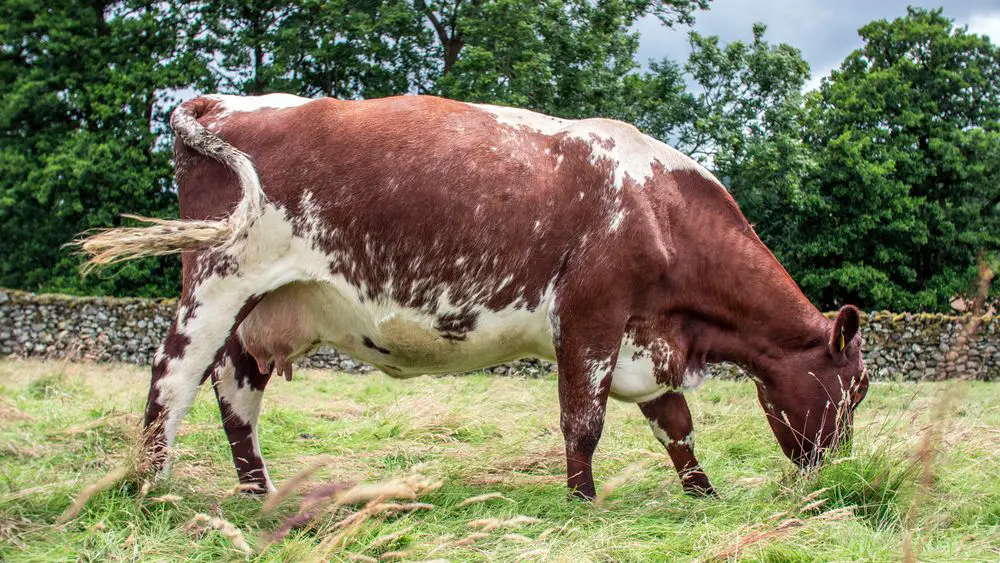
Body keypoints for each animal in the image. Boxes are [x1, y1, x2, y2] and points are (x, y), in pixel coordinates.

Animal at [80, 94, 868, 500]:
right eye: (857, 387)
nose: (837, 473)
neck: (659, 207)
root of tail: (222, 99)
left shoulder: (647, 338)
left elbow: (676, 426)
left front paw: (704, 497)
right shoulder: (591, 315)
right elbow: (583, 422)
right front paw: (583, 504)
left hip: (260, 310)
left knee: (236, 396)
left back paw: (259, 495)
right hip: (218, 278)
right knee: (172, 380)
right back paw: (148, 488)